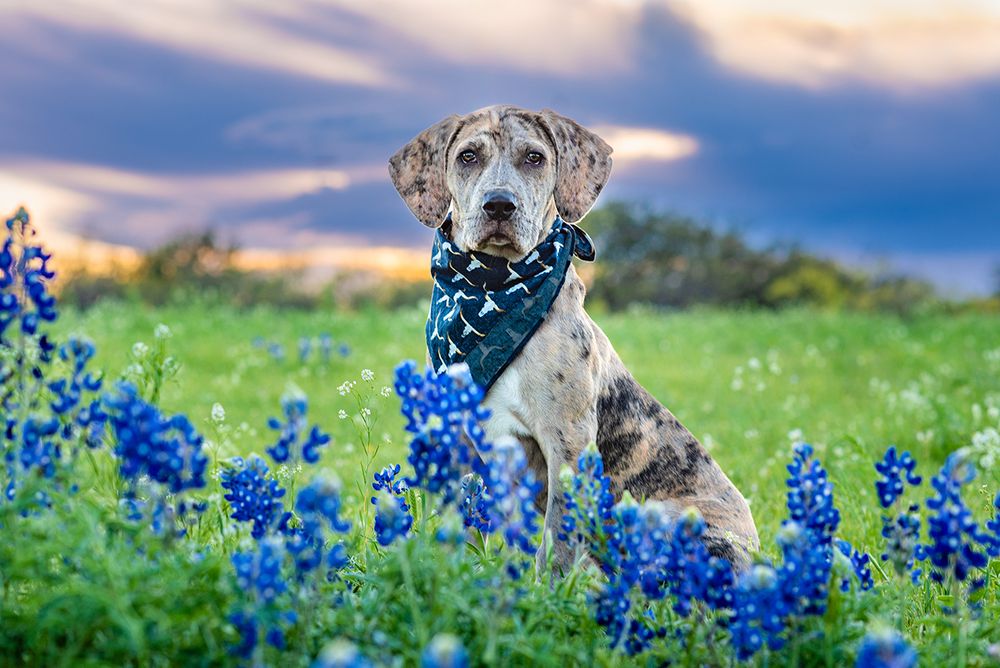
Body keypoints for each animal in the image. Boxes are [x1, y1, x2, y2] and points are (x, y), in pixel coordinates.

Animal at [390, 105, 756, 576]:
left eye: (535, 158)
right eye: (467, 156)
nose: (499, 205)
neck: (493, 286)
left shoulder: (566, 441)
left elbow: (557, 538)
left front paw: (549, 588)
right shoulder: (461, 444)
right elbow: (466, 529)